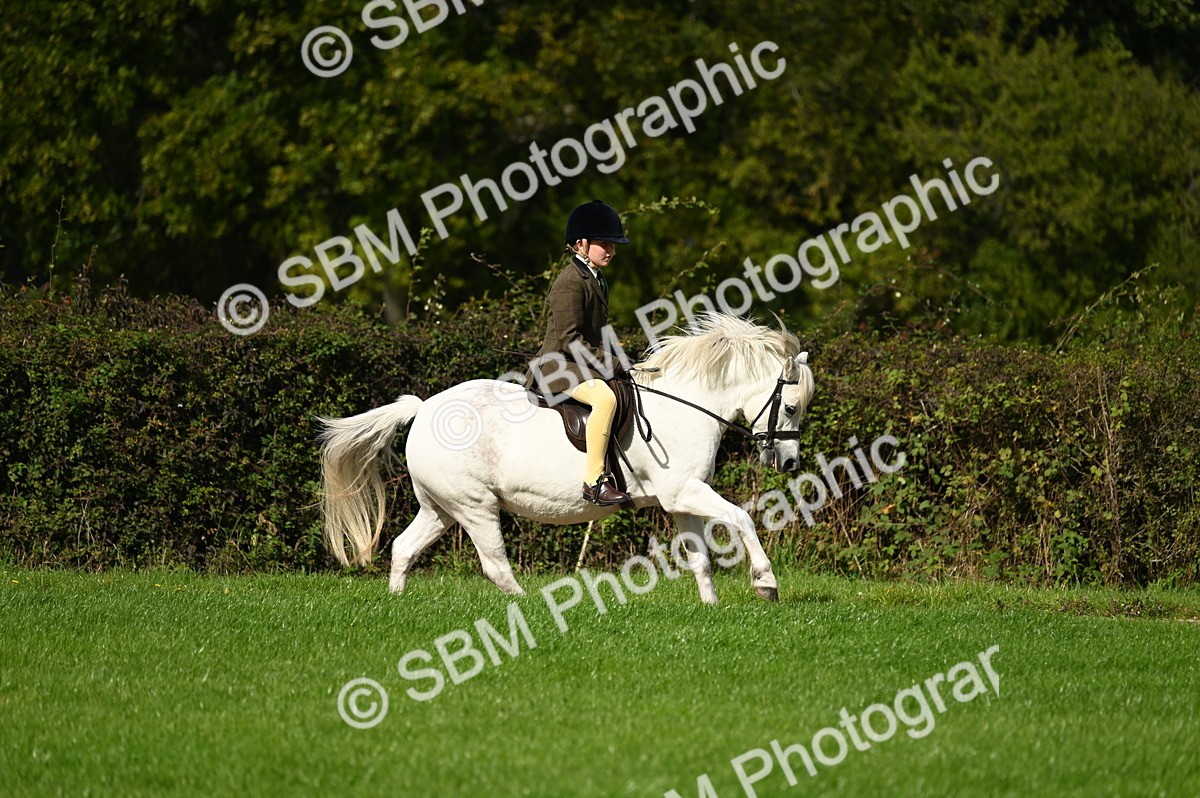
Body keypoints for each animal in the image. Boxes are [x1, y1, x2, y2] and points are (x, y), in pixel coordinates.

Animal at [318, 313, 815, 604]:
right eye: (791, 407)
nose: (790, 464)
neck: (685, 404)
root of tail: (423, 410)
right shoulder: (686, 491)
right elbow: (743, 518)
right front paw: (766, 584)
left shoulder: (680, 499)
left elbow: (700, 556)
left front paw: (710, 607)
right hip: (475, 506)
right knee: (495, 564)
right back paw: (532, 607)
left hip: (440, 507)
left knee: (404, 548)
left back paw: (397, 604)